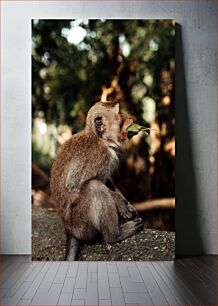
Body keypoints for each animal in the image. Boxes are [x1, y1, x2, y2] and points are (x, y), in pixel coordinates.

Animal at [50, 101, 144, 260]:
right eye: (119, 114)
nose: (130, 118)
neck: (99, 138)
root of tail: (69, 230)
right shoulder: (100, 154)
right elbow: (73, 183)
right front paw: (120, 204)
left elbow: (106, 179)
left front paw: (124, 202)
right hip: (81, 225)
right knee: (93, 186)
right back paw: (114, 236)